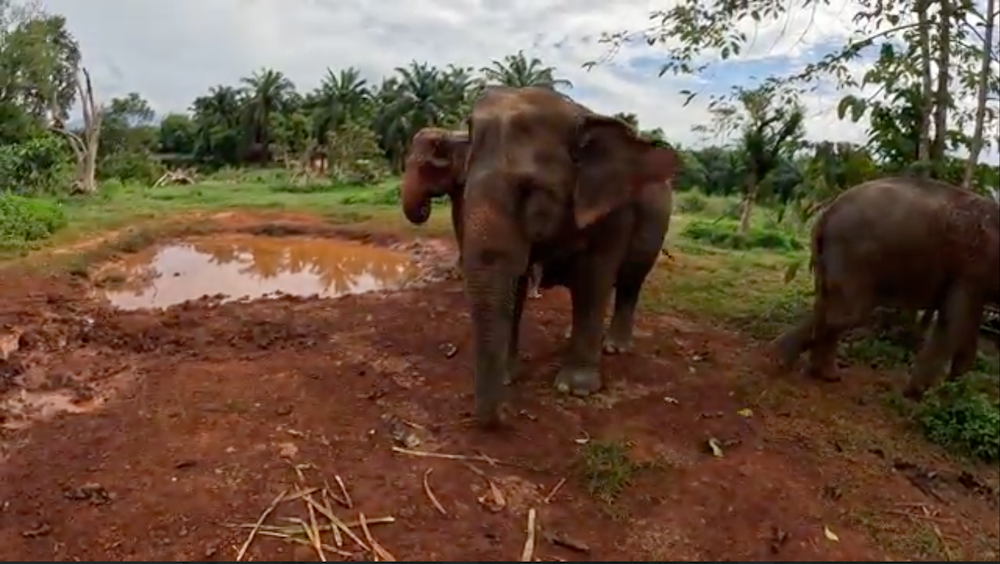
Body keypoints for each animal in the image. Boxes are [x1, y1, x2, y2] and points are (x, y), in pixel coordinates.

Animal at [458, 86, 680, 428]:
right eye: (465, 186)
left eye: (530, 190)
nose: (506, 413)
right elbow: (518, 284)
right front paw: (510, 376)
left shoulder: (615, 211)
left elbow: (593, 279)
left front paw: (575, 389)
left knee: (630, 282)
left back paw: (614, 347)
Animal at [771, 176, 1000, 400]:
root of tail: (827, 211)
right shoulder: (971, 270)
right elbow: (953, 324)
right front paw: (920, 395)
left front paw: (957, 390)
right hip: (851, 253)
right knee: (845, 313)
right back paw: (781, 359)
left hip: (831, 257)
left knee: (828, 304)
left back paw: (823, 374)